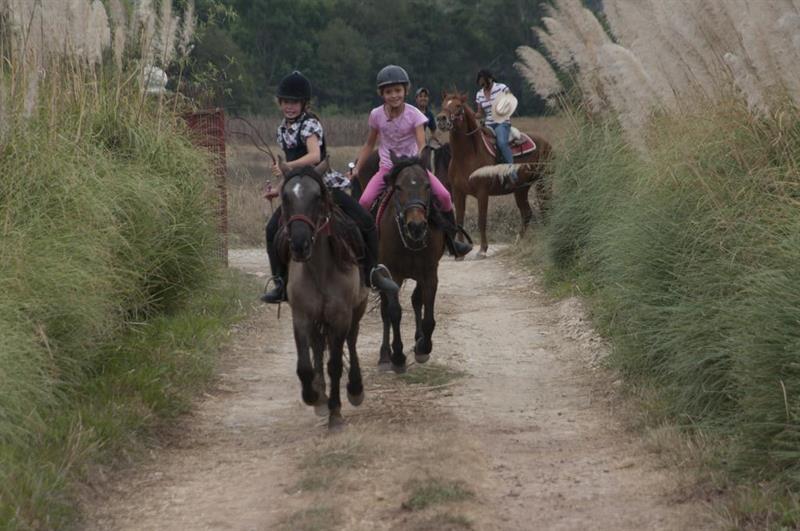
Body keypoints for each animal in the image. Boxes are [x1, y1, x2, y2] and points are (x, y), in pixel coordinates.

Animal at [278, 160, 368, 430]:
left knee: (352, 340)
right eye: (285, 197)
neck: (319, 269)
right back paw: (320, 394)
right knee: (318, 346)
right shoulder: (301, 317)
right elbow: (304, 366)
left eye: (318, 196)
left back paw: (355, 389)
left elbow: (335, 365)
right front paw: (313, 396)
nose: (299, 244)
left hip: (356, 310)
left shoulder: (340, 317)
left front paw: (335, 413)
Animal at [376, 153, 444, 370]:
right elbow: (394, 313)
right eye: (398, 187)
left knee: (416, 300)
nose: (417, 226)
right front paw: (398, 356)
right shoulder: (392, 275)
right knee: (385, 311)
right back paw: (385, 356)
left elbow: (428, 317)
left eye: (428, 186)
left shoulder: (429, 273)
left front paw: (423, 347)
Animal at [434, 91, 552, 258]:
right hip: (521, 189)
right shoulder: (458, 192)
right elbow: (460, 220)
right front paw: (461, 251)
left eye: (457, 106)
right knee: (527, 213)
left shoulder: (482, 193)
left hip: (544, 181)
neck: (467, 155)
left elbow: (481, 220)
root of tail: (546, 143)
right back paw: (518, 242)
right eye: (443, 104)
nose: (441, 119)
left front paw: (483, 249)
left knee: (545, 207)